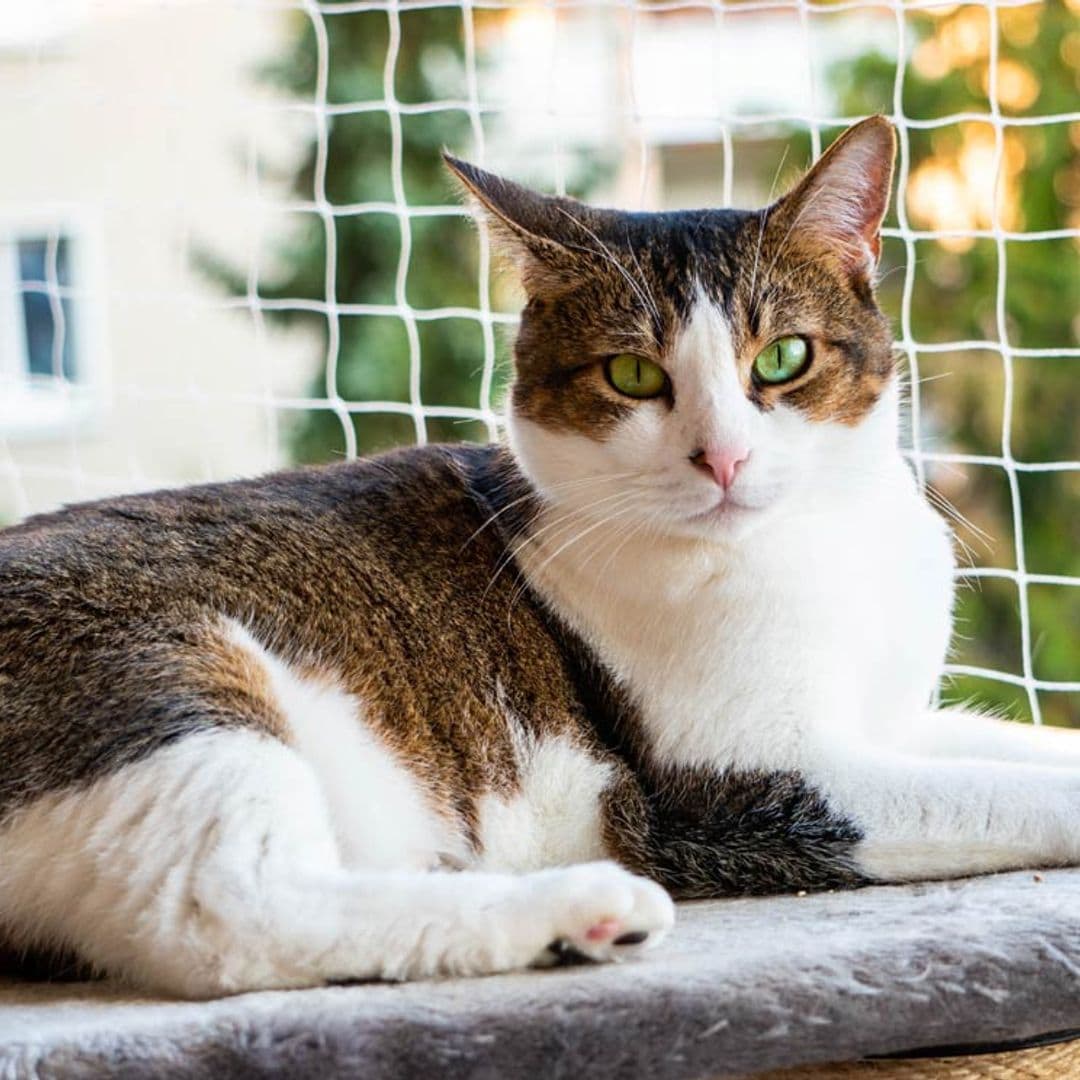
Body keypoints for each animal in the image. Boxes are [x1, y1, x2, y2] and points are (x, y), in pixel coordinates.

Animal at [2, 113, 1080, 997]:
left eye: (783, 359)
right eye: (633, 375)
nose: (723, 456)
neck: (816, 543)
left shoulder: (886, 721)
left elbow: (1021, 747)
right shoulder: (731, 789)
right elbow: (1005, 793)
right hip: (168, 672)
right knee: (223, 913)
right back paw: (577, 910)